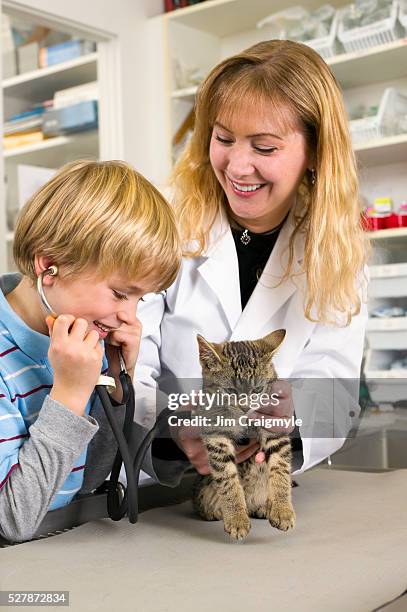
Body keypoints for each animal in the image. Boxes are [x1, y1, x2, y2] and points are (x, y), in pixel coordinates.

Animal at [193, 330, 294, 540]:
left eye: (258, 389)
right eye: (230, 391)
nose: (246, 407)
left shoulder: (274, 424)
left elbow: (280, 467)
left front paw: (282, 510)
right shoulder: (215, 433)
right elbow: (226, 477)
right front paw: (236, 518)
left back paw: (264, 506)